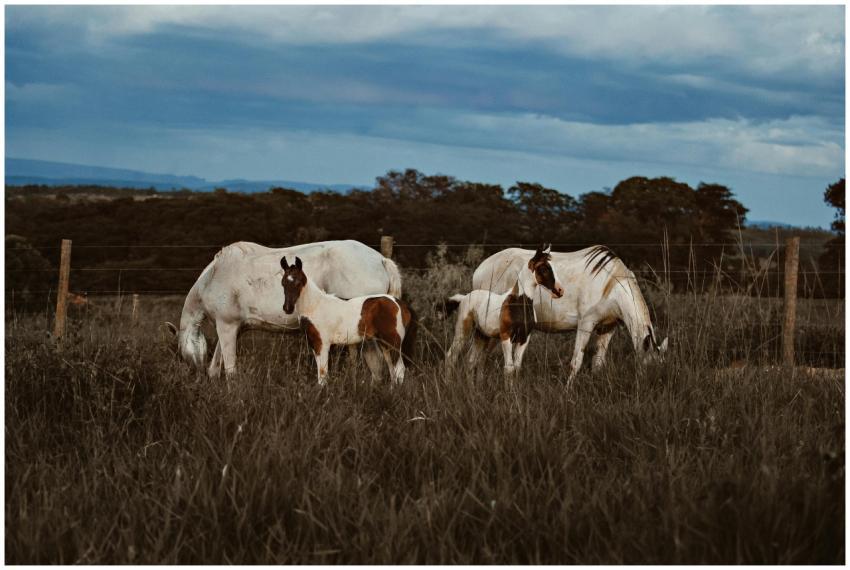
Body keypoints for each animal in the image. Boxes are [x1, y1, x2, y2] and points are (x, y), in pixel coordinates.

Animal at [166, 240, 402, 378]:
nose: (194, 375)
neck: (213, 277)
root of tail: (381, 259)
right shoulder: (233, 329)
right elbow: (216, 366)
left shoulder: (226, 327)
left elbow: (230, 369)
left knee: (377, 363)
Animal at [280, 256, 416, 386]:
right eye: (283, 283)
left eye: (298, 282)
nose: (287, 308)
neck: (314, 305)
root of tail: (400, 304)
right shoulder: (314, 344)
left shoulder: (323, 343)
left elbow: (323, 374)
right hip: (384, 343)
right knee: (391, 369)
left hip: (393, 341)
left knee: (399, 369)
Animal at [443, 246, 564, 377]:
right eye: (543, 268)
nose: (560, 290)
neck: (518, 304)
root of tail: (464, 298)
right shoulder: (506, 336)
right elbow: (509, 368)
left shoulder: (524, 338)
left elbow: (517, 367)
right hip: (462, 332)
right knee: (451, 357)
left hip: (481, 335)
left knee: (470, 361)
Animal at [472, 245, 667, 385]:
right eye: (648, 368)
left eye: (660, 367)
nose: (653, 387)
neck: (610, 284)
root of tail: (480, 269)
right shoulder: (586, 324)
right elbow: (577, 361)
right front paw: (568, 391)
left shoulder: (607, 327)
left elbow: (598, 362)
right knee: (477, 356)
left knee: (480, 356)